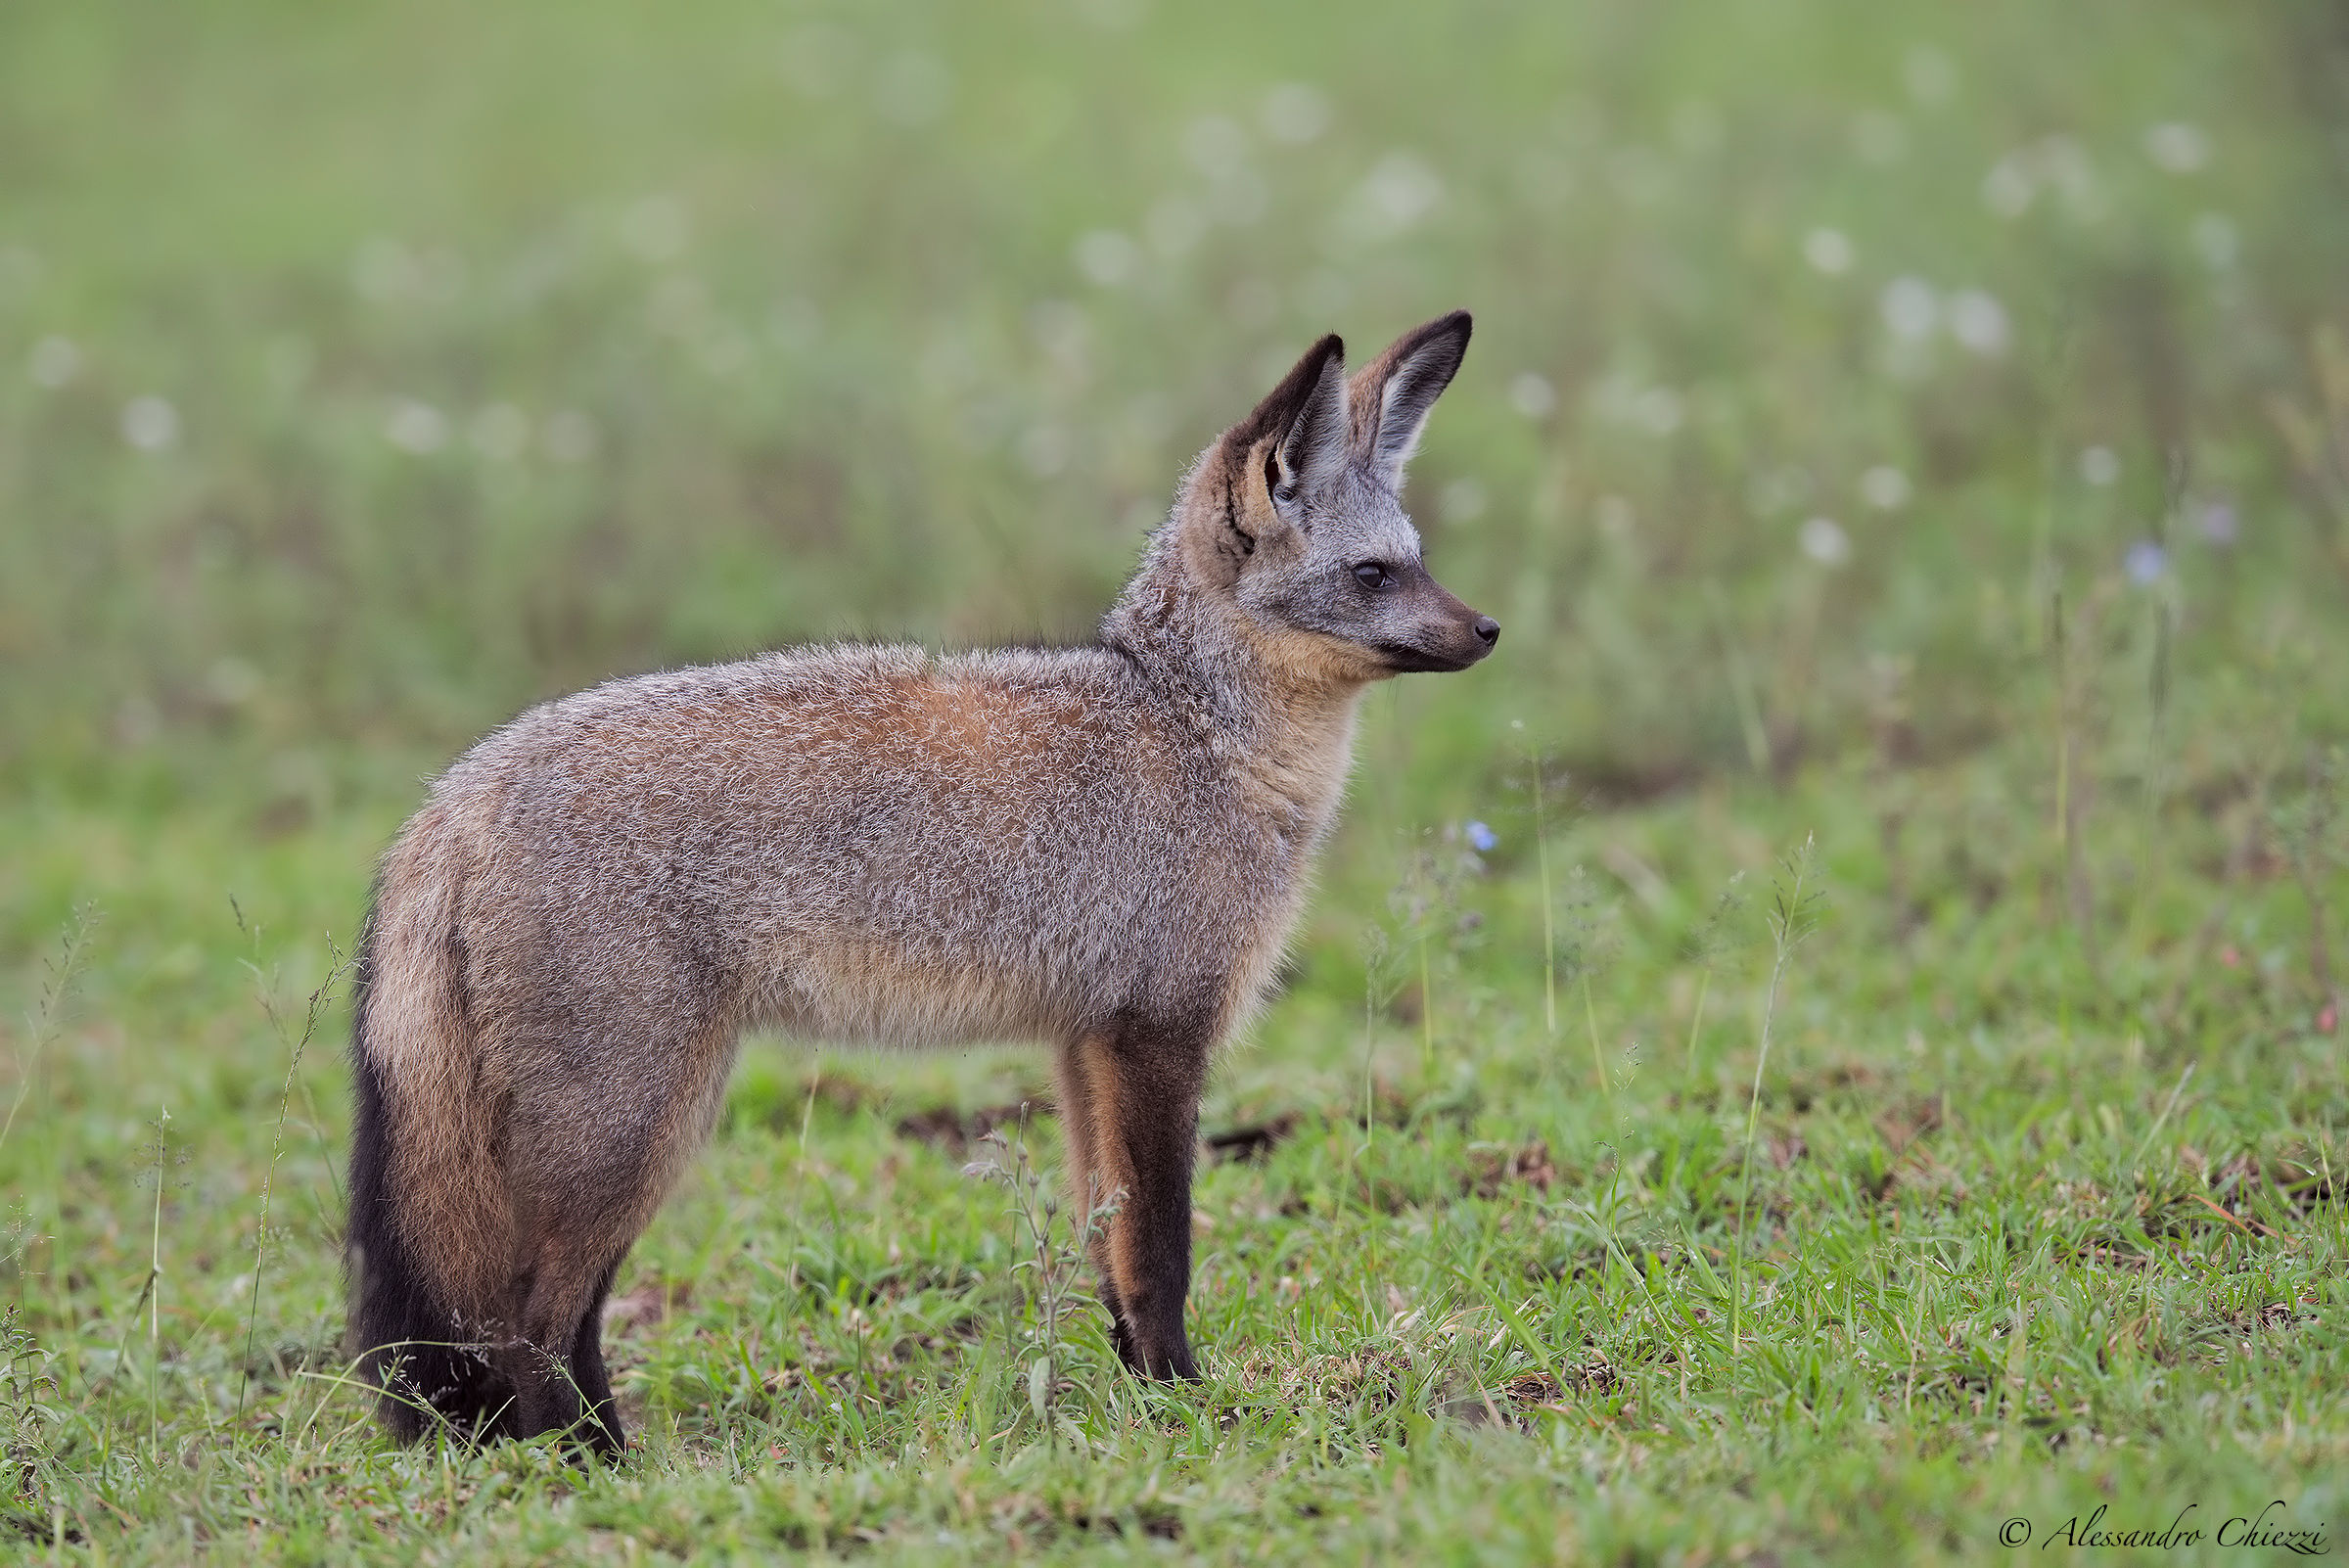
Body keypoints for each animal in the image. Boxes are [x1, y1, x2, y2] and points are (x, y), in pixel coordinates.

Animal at [345, 310, 1498, 1454]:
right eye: (1372, 576)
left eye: (1421, 562)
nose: (1489, 630)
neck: (1191, 723)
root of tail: (456, 790)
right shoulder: (1159, 1033)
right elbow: (1160, 1252)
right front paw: (1186, 1406)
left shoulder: (1084, 1040)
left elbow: (1109, 1256)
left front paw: (1142, 1394)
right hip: (634, 1129)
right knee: (532, 1318)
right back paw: (596, 1464)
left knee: (558, 1315)